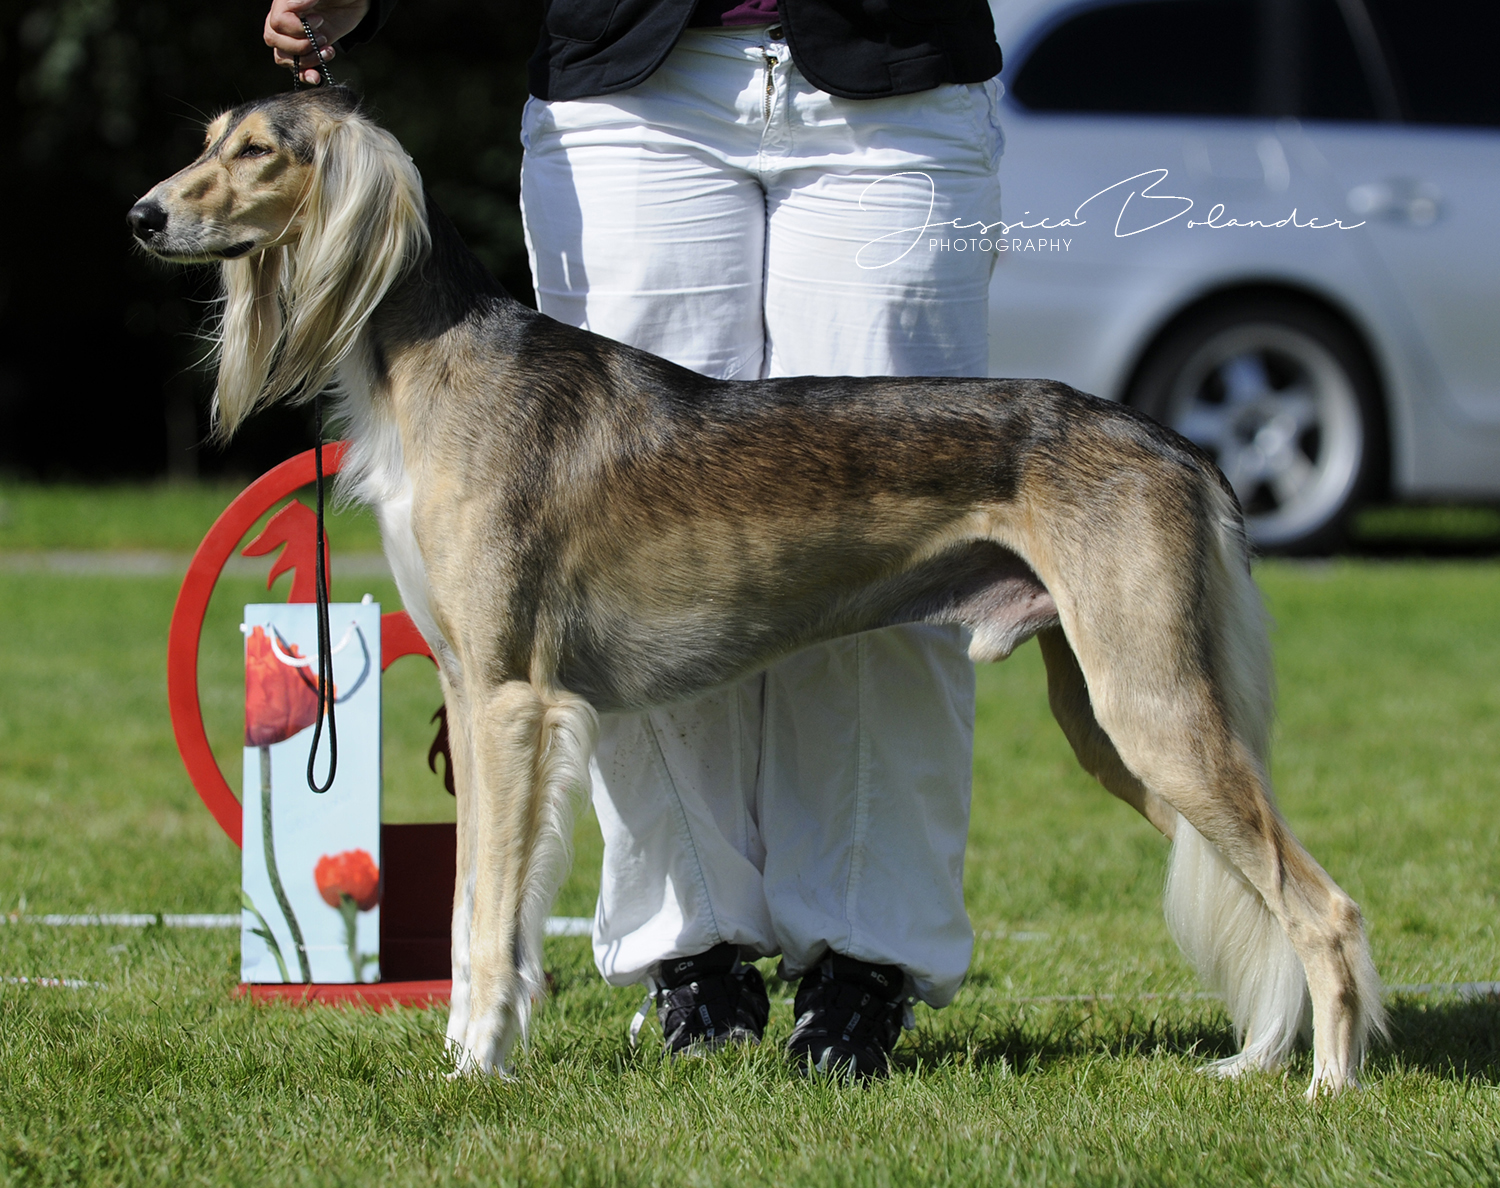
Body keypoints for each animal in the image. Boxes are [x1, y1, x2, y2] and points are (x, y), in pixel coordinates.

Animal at [129, 90, 1380, 1098]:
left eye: (258, 151)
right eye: (207, 140)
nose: (142, 216)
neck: (441, 363)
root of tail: (1175, 443)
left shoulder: (510, 701)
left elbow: (488, 918)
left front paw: (478, 1066)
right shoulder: (473, 693)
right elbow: (473, 902)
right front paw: (466, 1049)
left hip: (1151, 705)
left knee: (1324, 908)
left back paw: (1328, 1085)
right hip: (1120, 723)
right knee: (1263, 896)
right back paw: (1257, 1063)